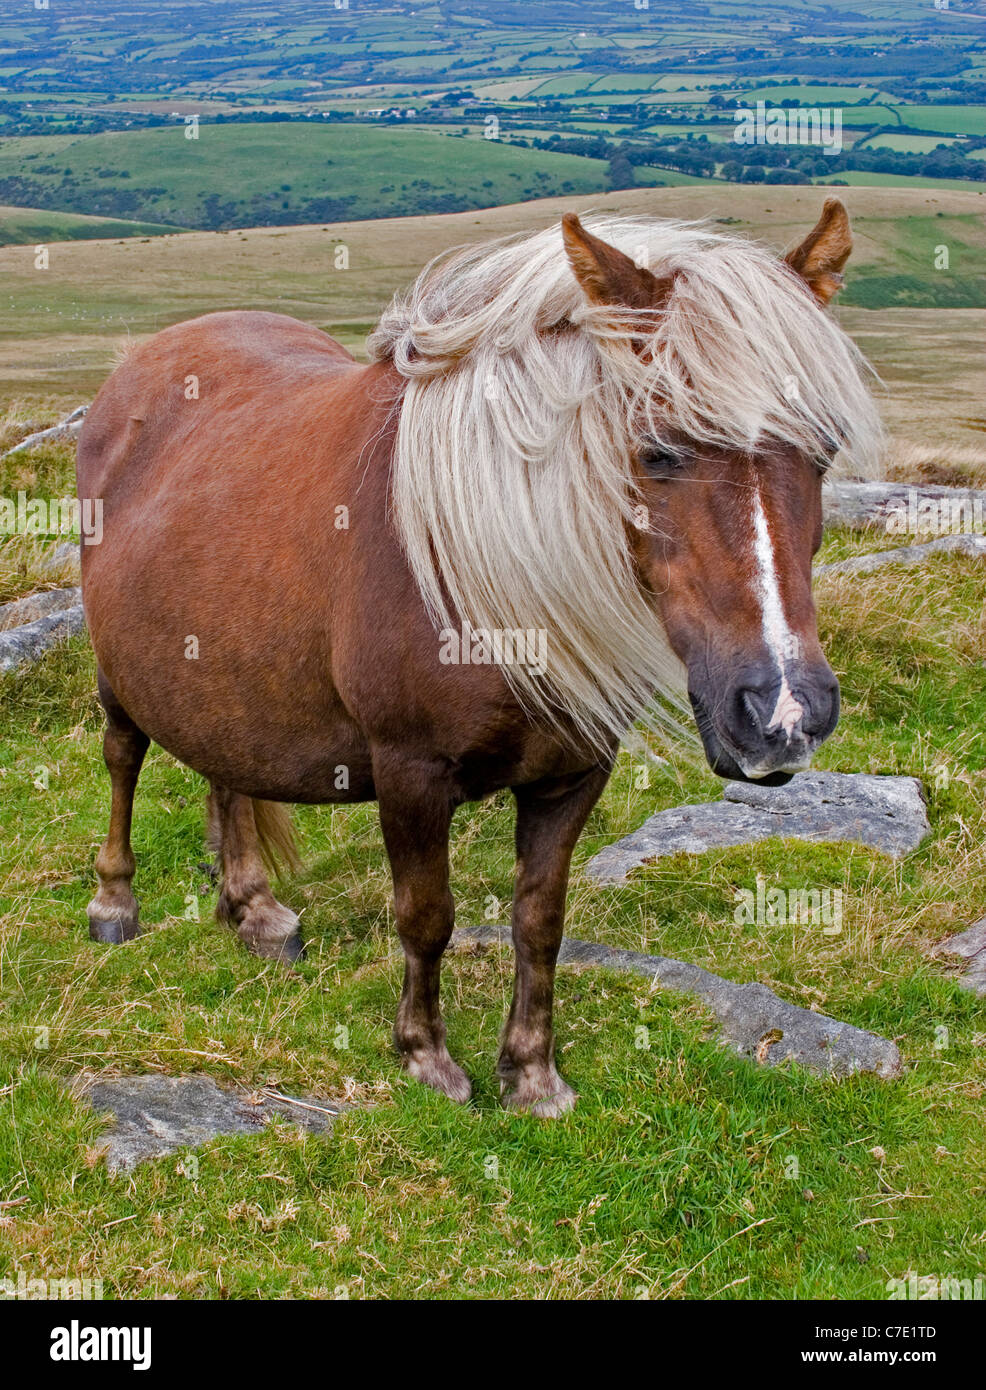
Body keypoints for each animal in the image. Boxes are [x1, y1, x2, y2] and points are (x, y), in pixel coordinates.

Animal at [76, 199, 880, 1117]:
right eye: (656, 450)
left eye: (823, 450)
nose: (784, 712)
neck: (494, 577)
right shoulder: (410, 772)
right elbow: (427, 916)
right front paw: (427, 1057)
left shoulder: (572, 773)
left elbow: (541, 919)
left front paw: (532, 1073)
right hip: (116, 673)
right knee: (123, 756)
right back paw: (114, 901)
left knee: (225, 767)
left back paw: (255, 910)